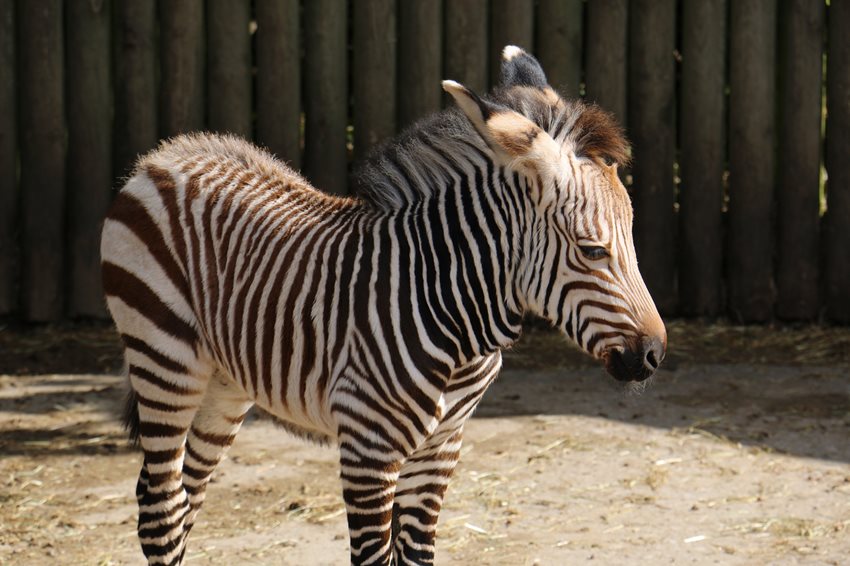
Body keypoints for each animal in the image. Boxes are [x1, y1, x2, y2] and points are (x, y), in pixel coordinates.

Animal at [102, 46, 664, 564]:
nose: (654, 354)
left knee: (182, 500)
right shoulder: (368, 449)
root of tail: (168, 154)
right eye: (592, 250)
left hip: (226, 381)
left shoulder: (442, 447)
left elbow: (416, 554)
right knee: (161, 512)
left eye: (633, 241)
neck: (452, 315)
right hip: (164, 357)